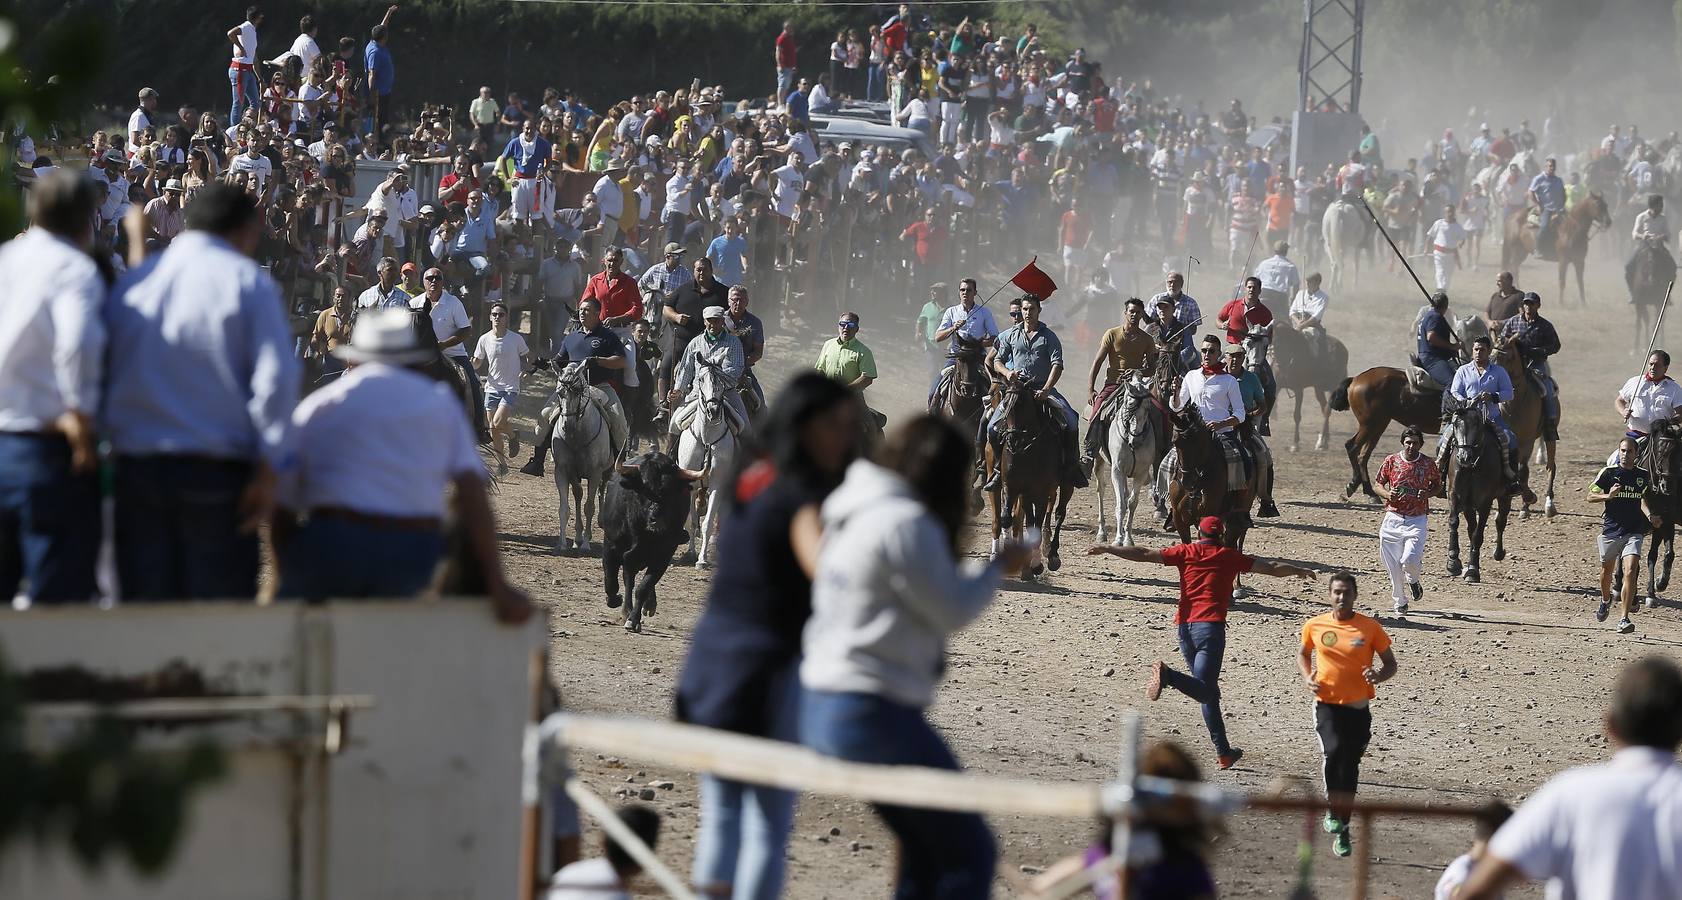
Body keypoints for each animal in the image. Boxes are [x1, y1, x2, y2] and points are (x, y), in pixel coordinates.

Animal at [548, 363, 615, 551]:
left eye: (577, 392)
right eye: (559, 392)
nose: (567, 425)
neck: (577, 436)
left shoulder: (595, 472)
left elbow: (589, 507)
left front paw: (586, 543)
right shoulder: (563, 470)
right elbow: (565, 507)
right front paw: (562, 543)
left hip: (607, 469)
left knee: (602, 488)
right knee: (578, 495)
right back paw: (577, 538)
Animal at [672, 361, 740, 568]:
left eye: (723, 381)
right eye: (701, 379)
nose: (714, 411)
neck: (707, 438)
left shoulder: (718, 484)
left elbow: (707, 522)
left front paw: (702, 559)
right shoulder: (689, 484)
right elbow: (692, 521)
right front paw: (690, 553)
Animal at [1089, 375, 1170, 548]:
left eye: (1148, 407)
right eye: (1129, 404)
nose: (1136, 440)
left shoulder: (1141, 473)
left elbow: (1132, 503)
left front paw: (1128, 538)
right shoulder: (1117, 471)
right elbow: (1121, 504)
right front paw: (1118, 538)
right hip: (1099, 461)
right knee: (1101, 490)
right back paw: (1102, 532)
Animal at [1271, 322, 1352, 454]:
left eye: (1279, 342)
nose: (1277, 361)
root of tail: (1343, 349)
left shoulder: (1299, 390)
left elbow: (1297, 416)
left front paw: (1295, 444)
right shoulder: (1277, 387)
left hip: (1332, 387)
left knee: (1327, 410)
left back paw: (1321, 443)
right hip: (1318, 389)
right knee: (1324, 407)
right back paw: (1325, 439)